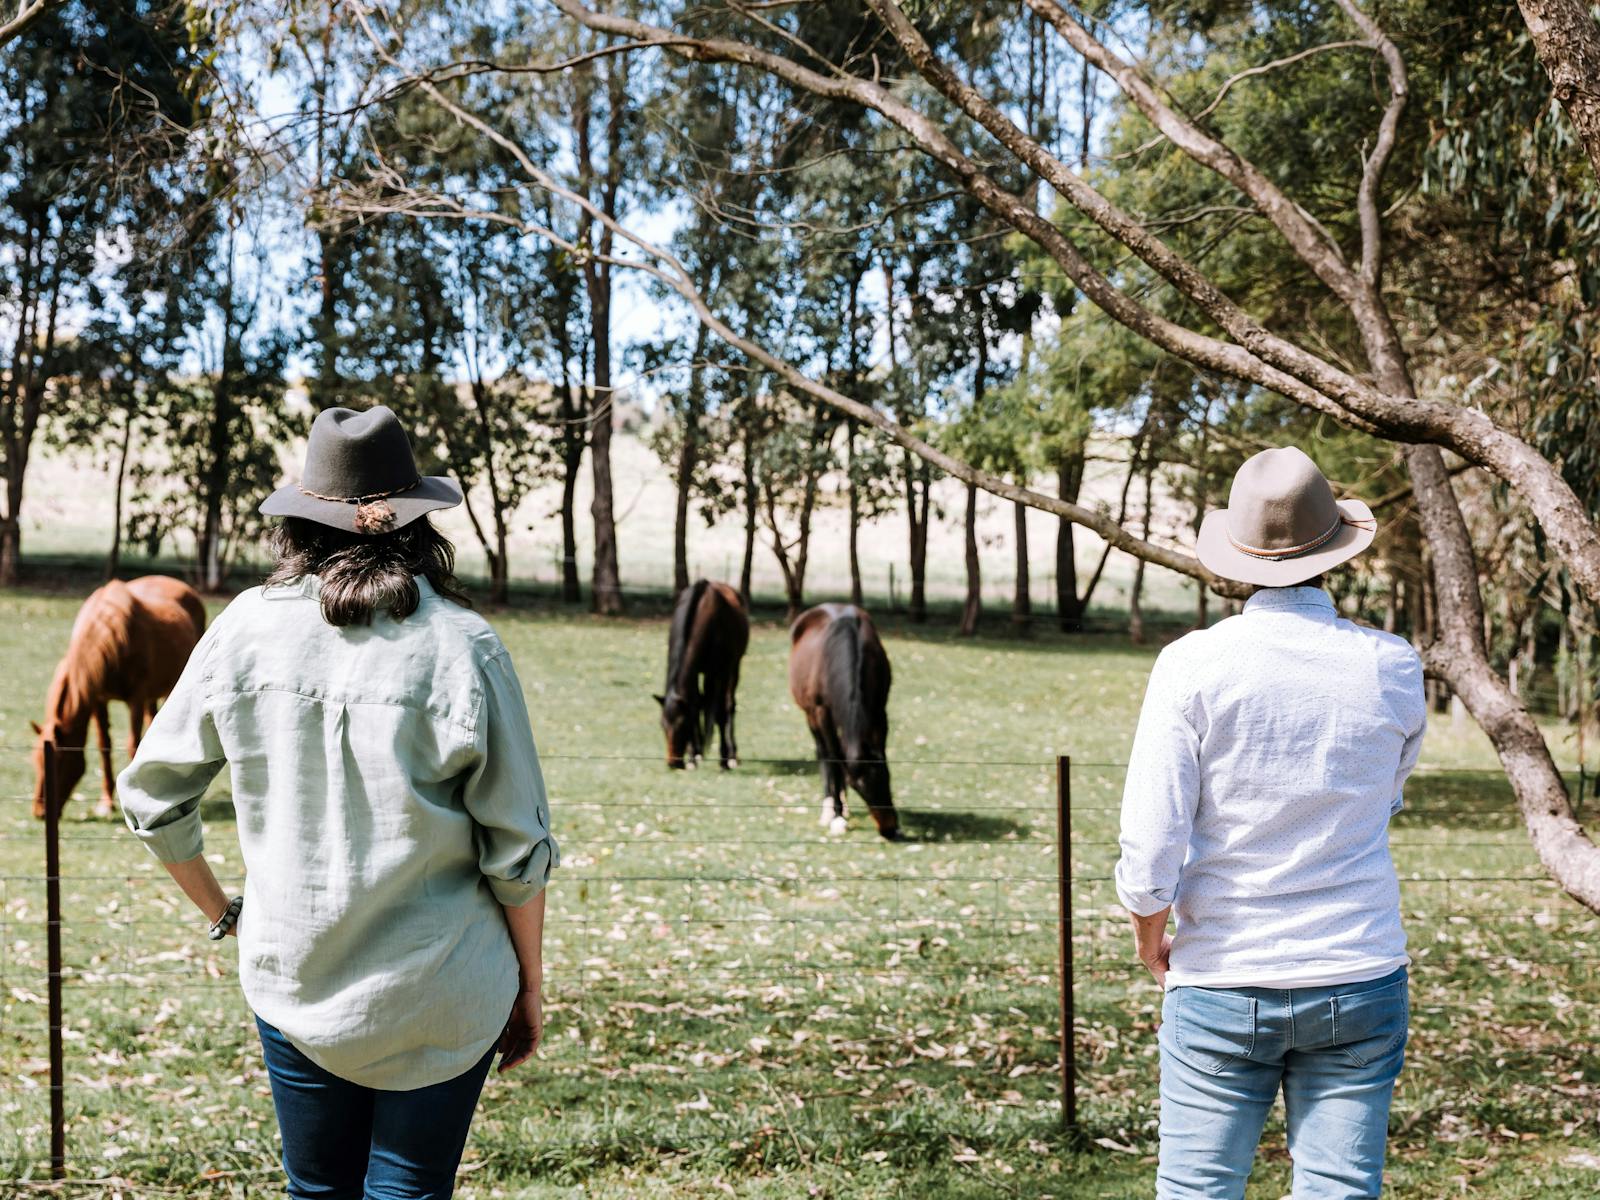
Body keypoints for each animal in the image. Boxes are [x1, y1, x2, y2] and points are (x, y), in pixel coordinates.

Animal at [31, 575, 207, 820]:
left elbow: (133, 744)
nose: (40, 812)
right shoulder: (99, 700)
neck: (111, 635)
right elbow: (104, 746)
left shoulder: (136, 699)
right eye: (35, 761)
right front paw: (106, 803)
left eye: (59, 762)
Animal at [655, 579, 750, 770]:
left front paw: (724, 760)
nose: (673, 763)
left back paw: (733, 755)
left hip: (732, 669)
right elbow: (695, 705)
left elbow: (720, 712)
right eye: (662, 725)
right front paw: (693, 755)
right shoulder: (693, 672)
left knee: (729, 705)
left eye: (682, 724)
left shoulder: (719, 672)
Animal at [787, 603, 899, 840]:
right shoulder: (822, 713)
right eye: (858, 786)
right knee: (823, 753)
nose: (890, 829)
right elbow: (833, 759)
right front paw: (836, 817)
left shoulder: (879, 711)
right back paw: (829, 808)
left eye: (887, 778)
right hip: (810, 716)